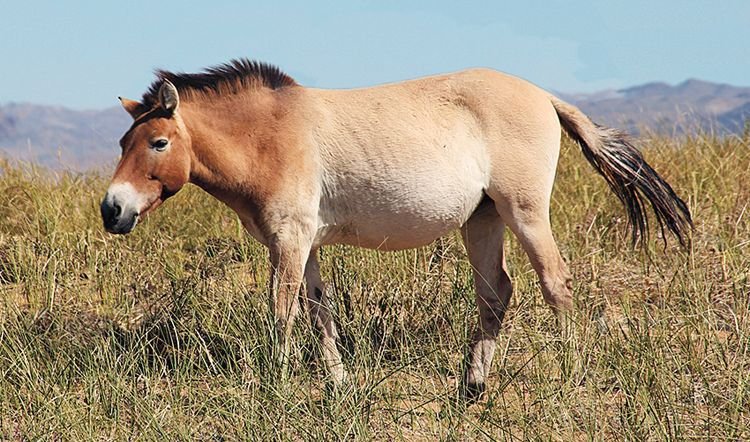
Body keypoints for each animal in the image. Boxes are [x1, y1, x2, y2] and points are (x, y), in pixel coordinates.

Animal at [100, 57, 692, 398]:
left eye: (158, 143)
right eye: (122, 143)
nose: (112, 209)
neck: (272, 135)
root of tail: (543, 95)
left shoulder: (289, 240)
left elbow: (282, 309)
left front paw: (275, 380)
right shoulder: (305, 242)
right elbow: (318, 309)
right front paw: (338, 383)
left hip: (524, 213)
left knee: (556, 284)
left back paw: (570, 371)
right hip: (483, 220)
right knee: (496, 293)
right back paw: (472, 386)